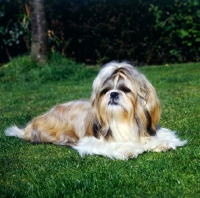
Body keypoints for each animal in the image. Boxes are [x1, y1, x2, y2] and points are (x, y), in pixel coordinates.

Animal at [4, 61, 187, 160]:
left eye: (126, 90)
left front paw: (162, 143)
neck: (121, 119)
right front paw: (127, 149)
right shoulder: (92, 140)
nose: (113, 93)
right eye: (105, 91)